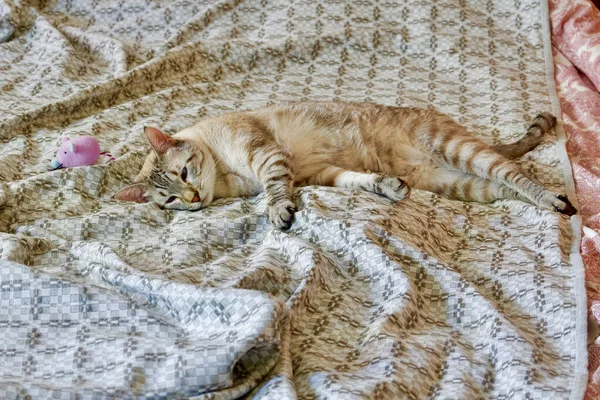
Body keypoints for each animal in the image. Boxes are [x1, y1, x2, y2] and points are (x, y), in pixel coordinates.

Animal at [113, 101, 576, 228]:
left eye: (184, 173)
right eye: (169, 201)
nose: (192, 199)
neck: (227, 179)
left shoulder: (266, 155)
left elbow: (275, 190)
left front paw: (278, 211)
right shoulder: (320, 173)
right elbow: (360, 180)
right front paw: (387, 186)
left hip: (458, 149)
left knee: (515, 173)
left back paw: (554, 201)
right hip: (456, 183)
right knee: (503, 188)